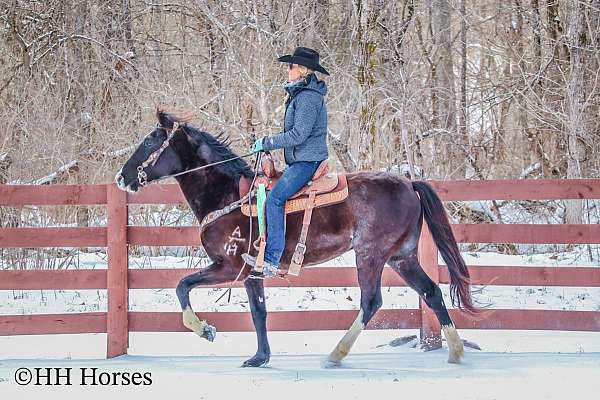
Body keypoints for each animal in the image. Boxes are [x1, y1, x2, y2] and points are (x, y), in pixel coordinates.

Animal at [115, 111, 476, 368]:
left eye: (149, 143)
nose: (122, 177)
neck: (228, 195)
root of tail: (410, 184)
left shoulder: (229, 267)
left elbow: (182, 286)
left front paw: (205, 330)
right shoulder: (251, 273)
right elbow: (258, 312)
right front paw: (260, 357)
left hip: (370, 255)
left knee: (371, 302)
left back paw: (336, 354)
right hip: (402, 258)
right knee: (431, 292)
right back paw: (457, 352)